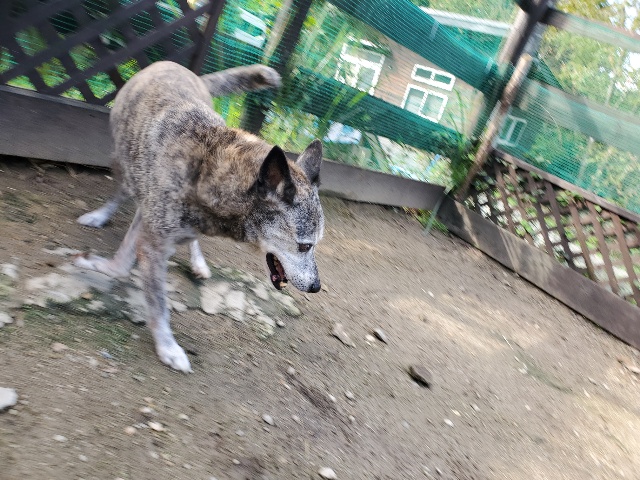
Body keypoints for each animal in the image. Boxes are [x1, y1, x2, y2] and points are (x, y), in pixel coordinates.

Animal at [74, 61, 324, 373]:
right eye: (304, 246)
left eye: (315, 245)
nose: (316, 287)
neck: (209, 164)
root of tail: (173, 65)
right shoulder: (153, 237)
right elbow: (156, 302)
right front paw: (168, 347)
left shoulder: (155, 227)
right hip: (124, 165)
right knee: (120, 193)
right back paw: (100, 215)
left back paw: (198, 262)